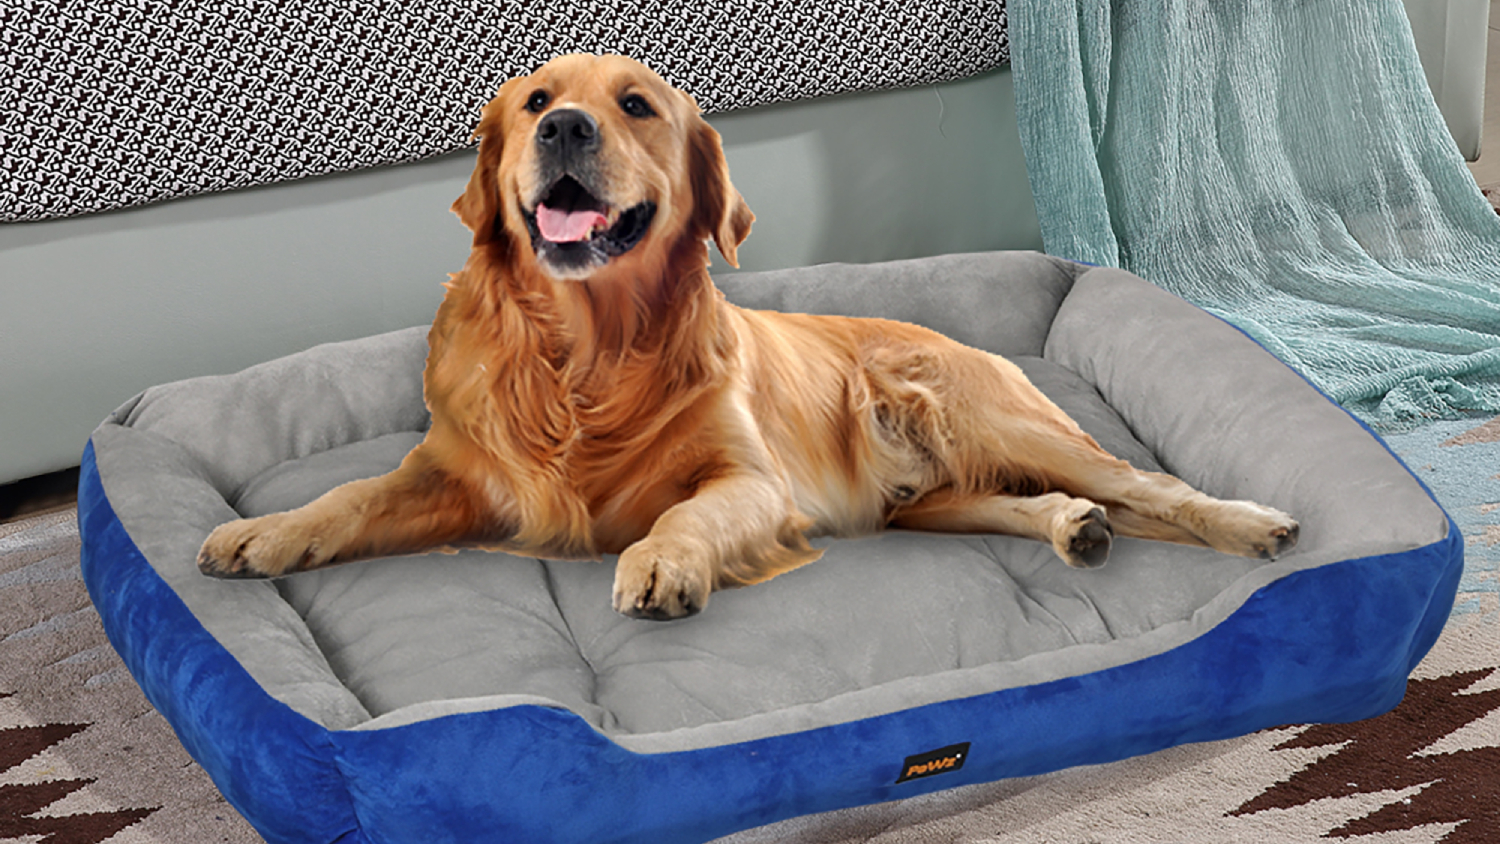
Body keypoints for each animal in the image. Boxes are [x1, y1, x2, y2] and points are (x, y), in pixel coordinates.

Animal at [198, 54, 1299, 619]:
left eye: (635, 104)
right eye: (537, 102)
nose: (565, 131)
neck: (586, 353)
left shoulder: (753, 482)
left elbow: (685, 513)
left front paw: (662, 564)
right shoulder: (458, 471)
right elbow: (348, 496)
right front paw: (263, 532)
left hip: (992, 421)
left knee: (1149, 484)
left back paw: (1252, 523)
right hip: (928, 506)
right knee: (1035, 503)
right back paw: (1074, 526)